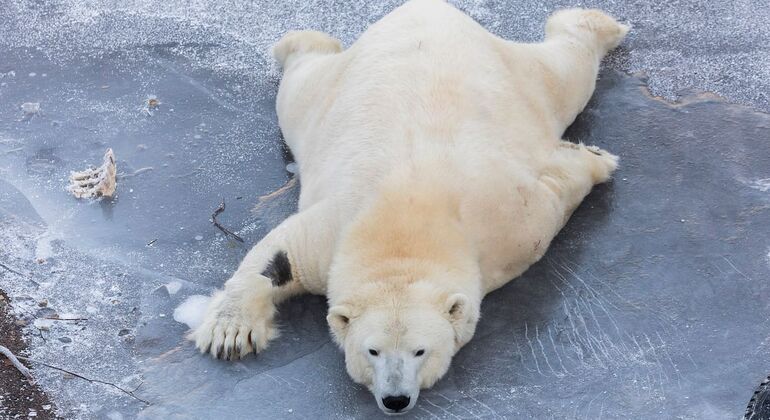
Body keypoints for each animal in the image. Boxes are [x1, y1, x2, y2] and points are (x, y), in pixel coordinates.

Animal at [190, 0, 624, 414]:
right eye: (373, 351)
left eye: (420, 351)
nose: (395, 399)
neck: (403, 221)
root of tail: (425, 9)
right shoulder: (334, 233)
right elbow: (280, 255)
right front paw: (229, 334)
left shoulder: (515, 228)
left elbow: (555, 191)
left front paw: (595, 158)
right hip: (322, 100)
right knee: (298, 82)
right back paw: (296, 42)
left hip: (522, 83)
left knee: (567, 73)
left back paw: (597, 24)